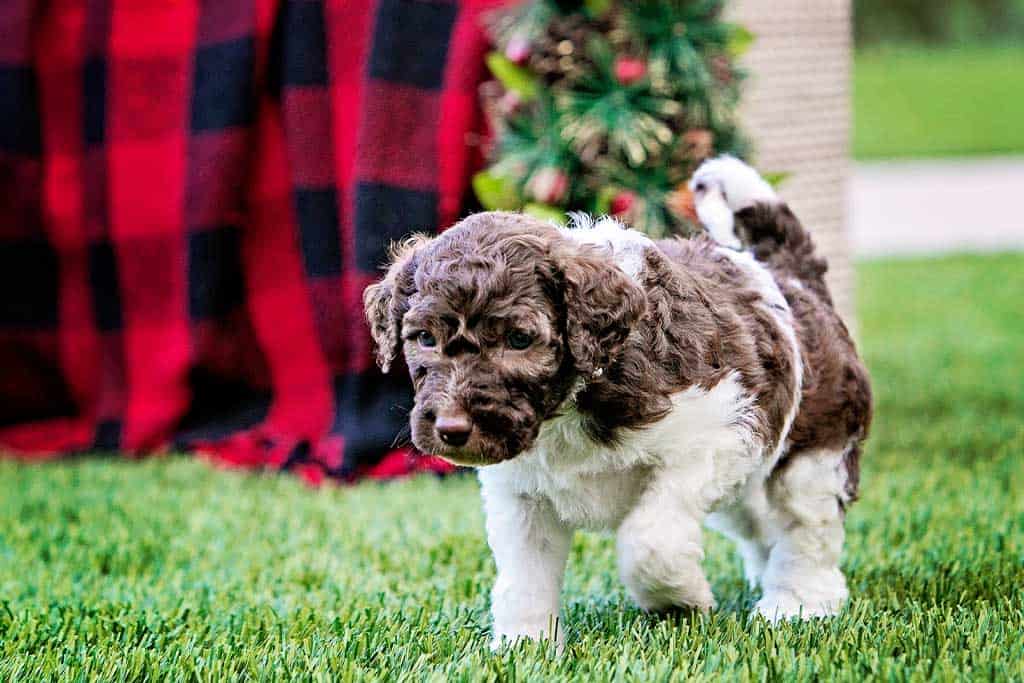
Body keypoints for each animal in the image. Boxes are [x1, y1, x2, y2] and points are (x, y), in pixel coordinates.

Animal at [364, 157, 868, 651]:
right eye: (424, 338)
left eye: (519, 339)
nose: (451, 429)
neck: (570, 404)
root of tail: (790, 278)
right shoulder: (520, 495)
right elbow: (523, 576)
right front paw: (525, 644)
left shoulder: (715, 438)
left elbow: (650, 541)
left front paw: (678, 600)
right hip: (750, 489)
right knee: (764, 530)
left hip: (813, 454)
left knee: (807, 533)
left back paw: (797, 604)